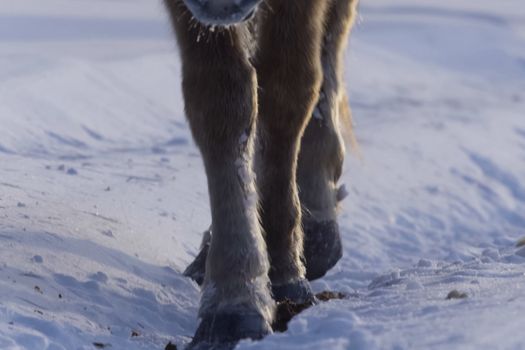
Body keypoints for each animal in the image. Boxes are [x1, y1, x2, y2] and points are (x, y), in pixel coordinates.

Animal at [165, 0, 356, 348]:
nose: (221, 6)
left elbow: (288, 88)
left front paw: (283, 272)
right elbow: (221, 99)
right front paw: (235, 300)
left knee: (332, 38)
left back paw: (317, 221)